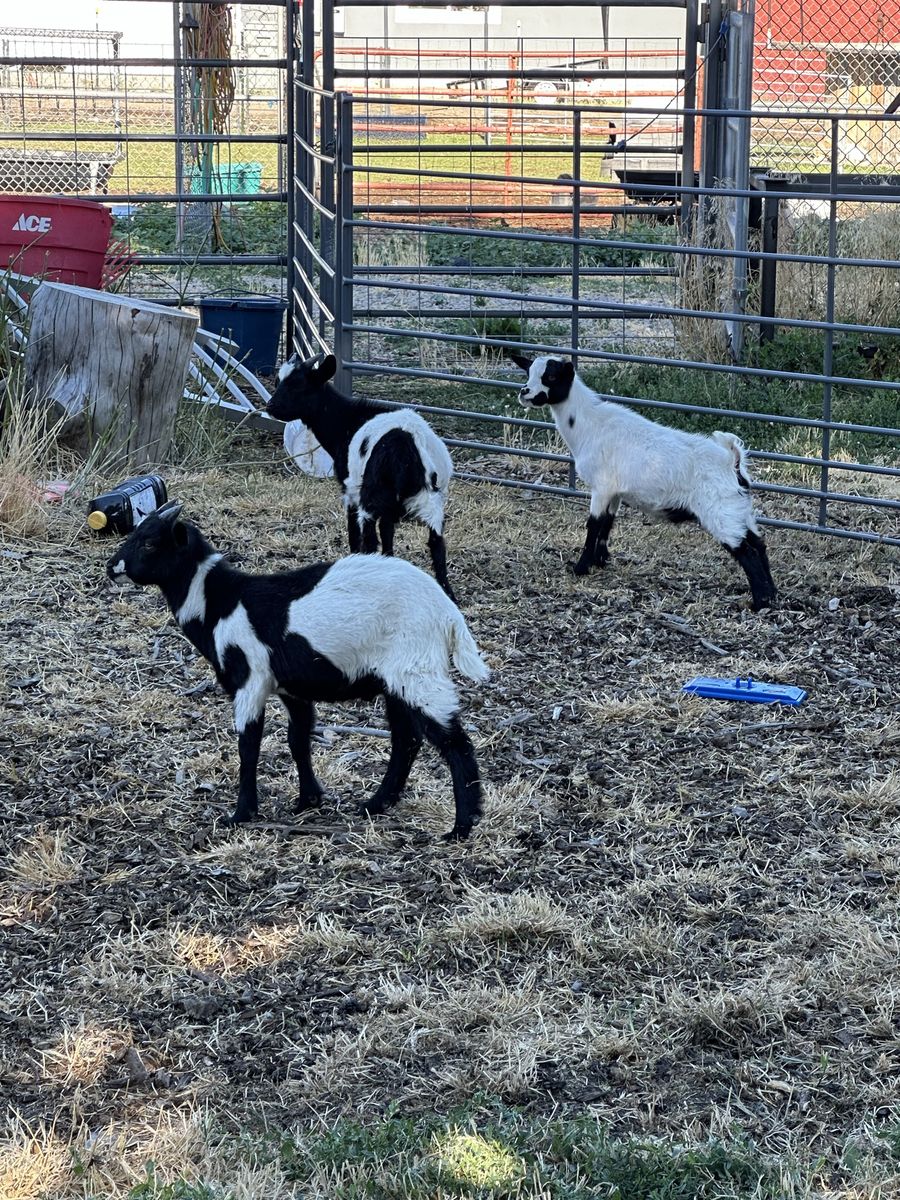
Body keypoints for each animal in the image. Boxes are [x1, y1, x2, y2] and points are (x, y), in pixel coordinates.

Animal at [106, 502, 488, 839]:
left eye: (150, 542)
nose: (112, 566)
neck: (221, 603)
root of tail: (448, 614)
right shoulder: (292, 688)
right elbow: (298, 739)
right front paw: (309, 800)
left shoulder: (250, 680)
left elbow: (249, 746)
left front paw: (241, 814)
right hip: (396, 680)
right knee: (407, 739)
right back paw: (376, 804)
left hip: (417, 671)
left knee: (455, 743)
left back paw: (461, 827)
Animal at [267, 352, 456, 600]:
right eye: (279, 381)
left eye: (299, 385)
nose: (270, 406)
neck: (345, 422)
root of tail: (406, 445)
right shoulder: (389, 507)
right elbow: (388, 532)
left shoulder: (350, 490)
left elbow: (354, 534)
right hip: (431, 501)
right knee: (437, 545)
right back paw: (448, 593)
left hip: (371, 497)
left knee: (369, 539)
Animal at [510, 353, 777, 611]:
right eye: (528, 371)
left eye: (551, 376)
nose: (524, 392)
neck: (589, 424)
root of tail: (733, 462)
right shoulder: (614, 492)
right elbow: (607, 523)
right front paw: (601, 560)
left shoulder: (602, 487)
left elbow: (593, 525)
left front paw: (581, 567)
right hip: (737, 510)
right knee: (759, 544)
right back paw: (772, 595)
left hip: (720, 512)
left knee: (748, 552)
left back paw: (759, 602)